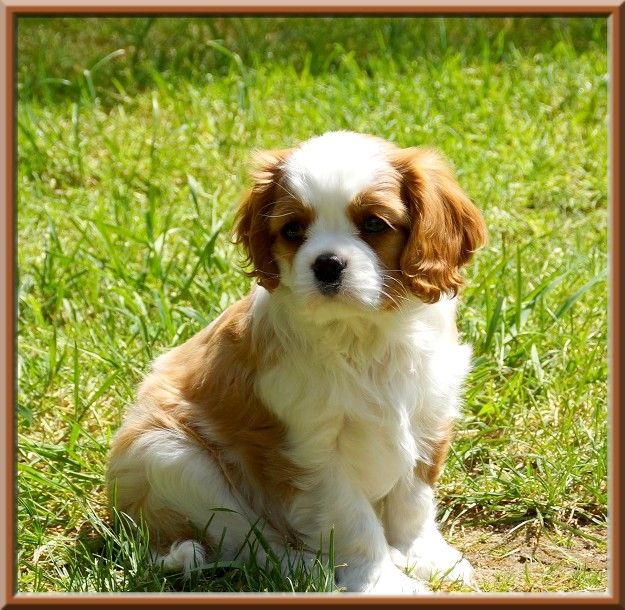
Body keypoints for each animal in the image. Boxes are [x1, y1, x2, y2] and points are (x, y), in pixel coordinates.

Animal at [106, 131, 486, 593]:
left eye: (374, 224)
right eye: (292, 230)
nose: (327, 263)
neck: (363, 334)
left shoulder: (428, 419)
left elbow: (413, 501)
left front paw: (424, 556)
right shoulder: (315, 453)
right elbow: (354, 522)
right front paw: (381, 582)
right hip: (171, 458)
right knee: (252, 547)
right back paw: (311, 568)